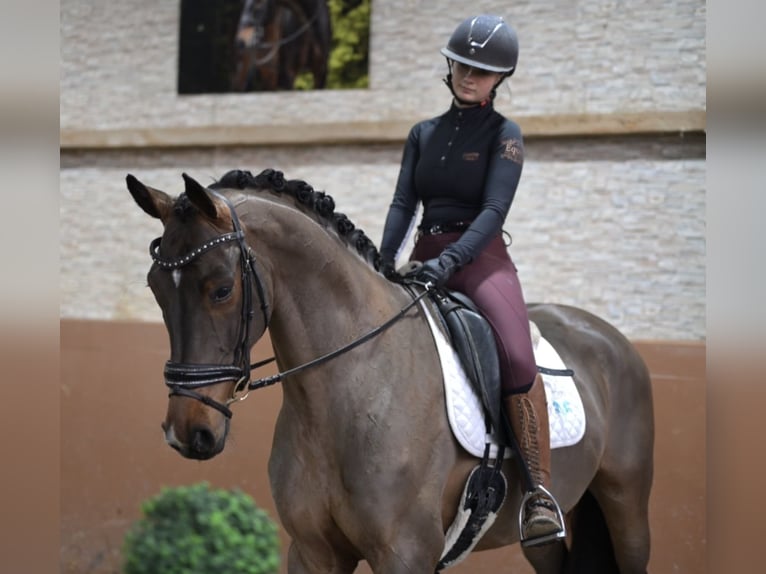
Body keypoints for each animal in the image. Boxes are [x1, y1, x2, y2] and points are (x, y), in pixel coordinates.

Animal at [125, 168, 655, 574]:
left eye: (221, 289)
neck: (350, 391)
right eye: (155, 287)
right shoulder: (312, 552)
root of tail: (608, 337)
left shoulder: (405, 554)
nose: (186, 431)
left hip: (627, 510)